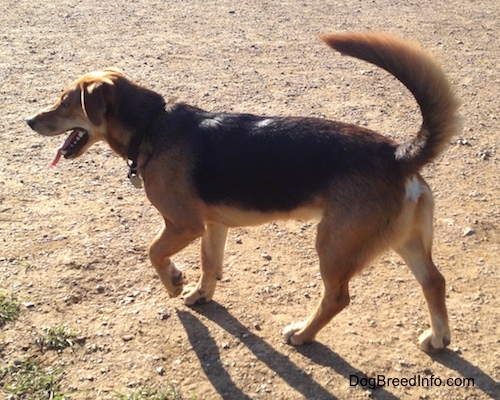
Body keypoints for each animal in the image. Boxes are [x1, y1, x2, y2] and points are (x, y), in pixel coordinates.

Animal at [25, 32, 458, 352]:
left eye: (65, 102)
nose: (28, 120)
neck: (152, 125)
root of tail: (397, 154)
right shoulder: (212, 226)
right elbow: (210, 265)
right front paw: (200, 294)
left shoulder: (183, 225)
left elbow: (154, 252)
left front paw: (174, 282)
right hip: (402, 241)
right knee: (434, 282)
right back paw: (437, 338)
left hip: (334, 245)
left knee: (337, 298)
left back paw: (303, 334)